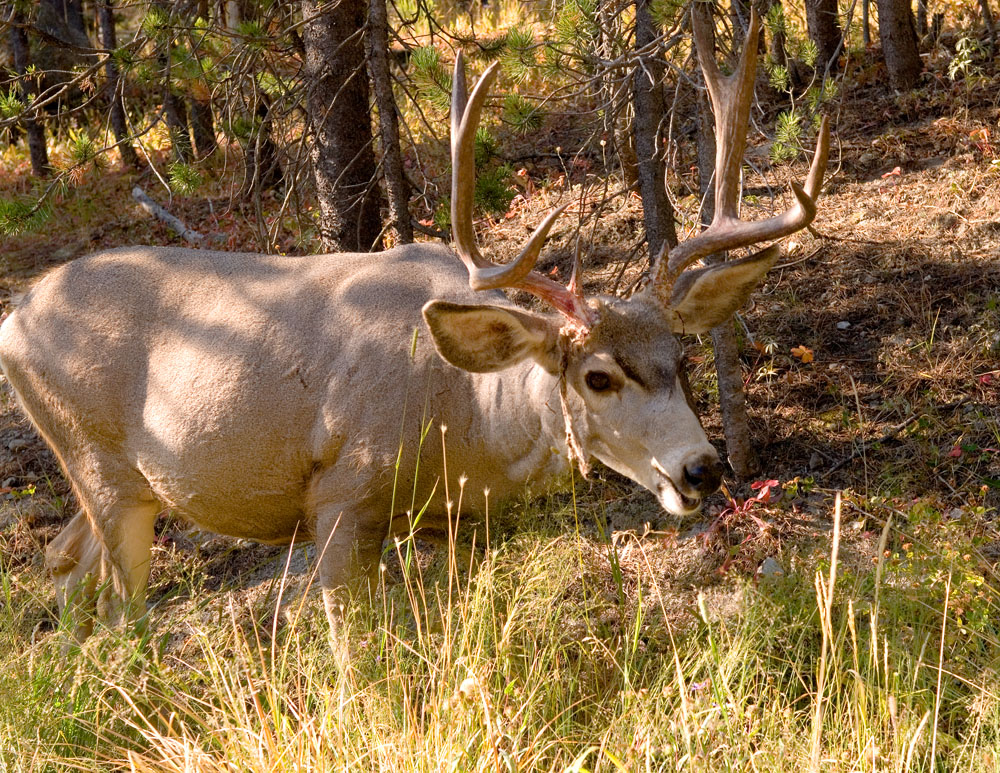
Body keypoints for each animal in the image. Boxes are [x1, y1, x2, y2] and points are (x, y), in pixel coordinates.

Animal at [0, 9, 828, 644]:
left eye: (680, 360)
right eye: (597, 375)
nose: (701, 468)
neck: (467, 411)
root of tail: (16, 315)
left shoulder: (463, 524)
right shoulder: (338, 495)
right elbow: (352, 649)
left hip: (102, 477)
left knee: (63, 563)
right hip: (100, 463)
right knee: (118, 603)